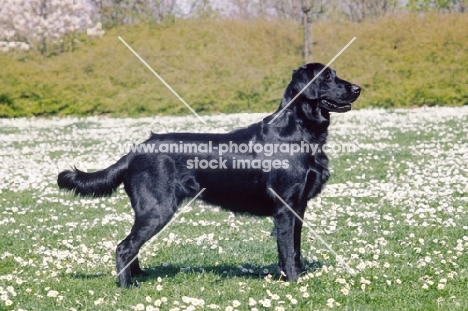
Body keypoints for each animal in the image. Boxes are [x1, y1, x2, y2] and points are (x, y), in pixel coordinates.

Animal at [57, 62, 358, 288]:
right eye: (327, 77)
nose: (358, 88)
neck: (298, 131)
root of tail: (134, 151)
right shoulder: (285, 207)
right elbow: (287, 249)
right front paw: (294, 282)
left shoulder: (299, 205)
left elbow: (295, 248)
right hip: (157, 209)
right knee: (124, 247)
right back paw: (127, 286)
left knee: (131, 245)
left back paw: (139, 277)